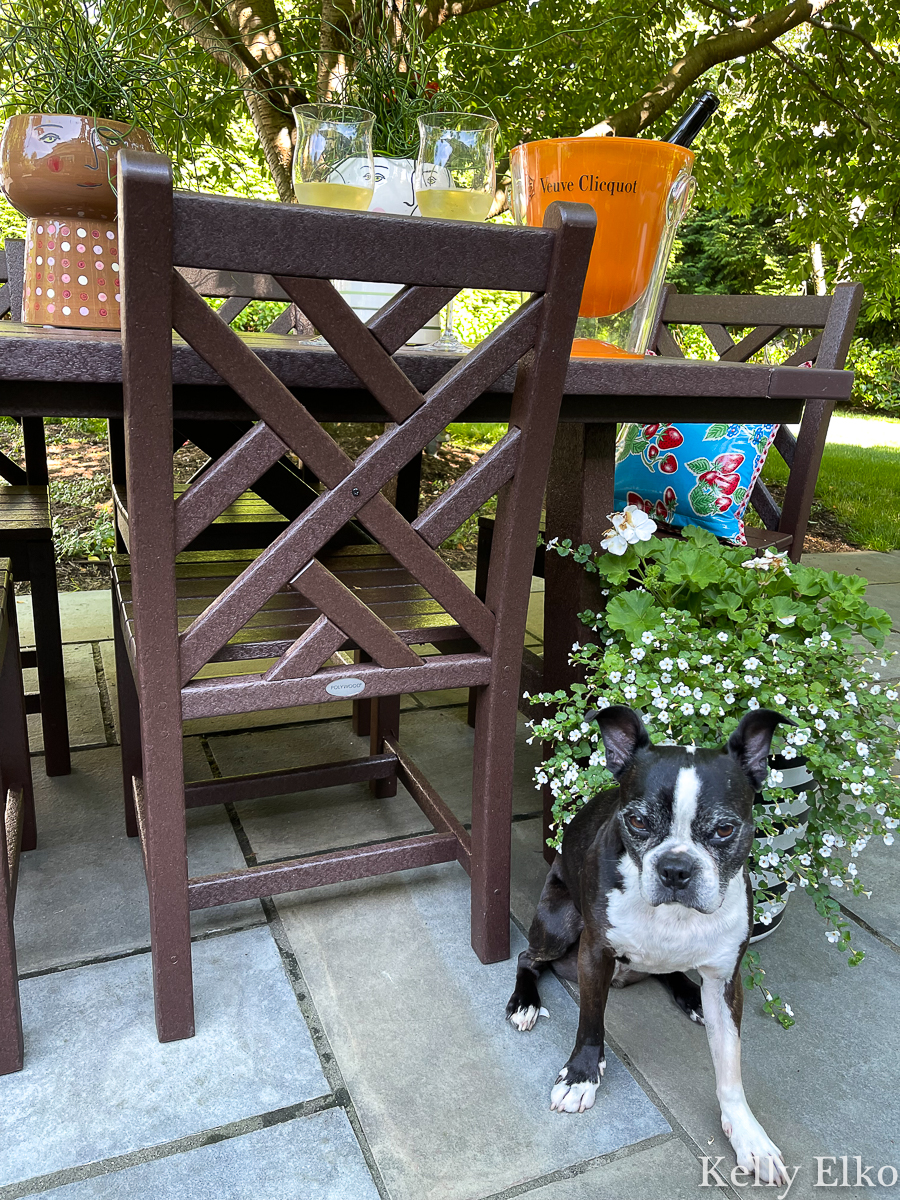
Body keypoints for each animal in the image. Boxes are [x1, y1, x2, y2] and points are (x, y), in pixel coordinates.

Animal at [511, 700, 792, 1180]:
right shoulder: (595, 953)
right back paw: (525, 1002)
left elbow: (730, 1067)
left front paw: (747, 1133)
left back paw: (690, 995)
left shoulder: (726, 980)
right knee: (528, 957)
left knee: (670, 971)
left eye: (724, 830)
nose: (676, 868)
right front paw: (581, 1075)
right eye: (638, 821)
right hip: (558, 921)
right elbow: (590, 1022)